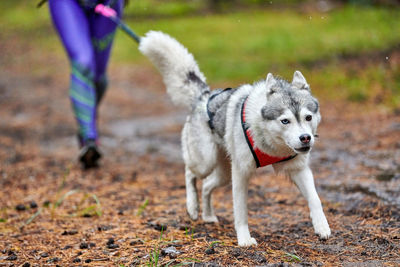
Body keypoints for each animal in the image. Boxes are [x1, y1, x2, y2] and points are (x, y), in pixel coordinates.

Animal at [139, 30, 330, 246]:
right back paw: (192, 207)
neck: (269, 143)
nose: (305, 138)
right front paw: (244, 239)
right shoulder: (241, 173)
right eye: (285, 121)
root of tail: (204, 96)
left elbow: (315, 199)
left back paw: (208, 215)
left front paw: (322, 227)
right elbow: (241, 211)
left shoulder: (298, 169)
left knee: (206, 186)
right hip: (205, 161)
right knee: (189, 173)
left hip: (223, 174)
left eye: (308, 117)